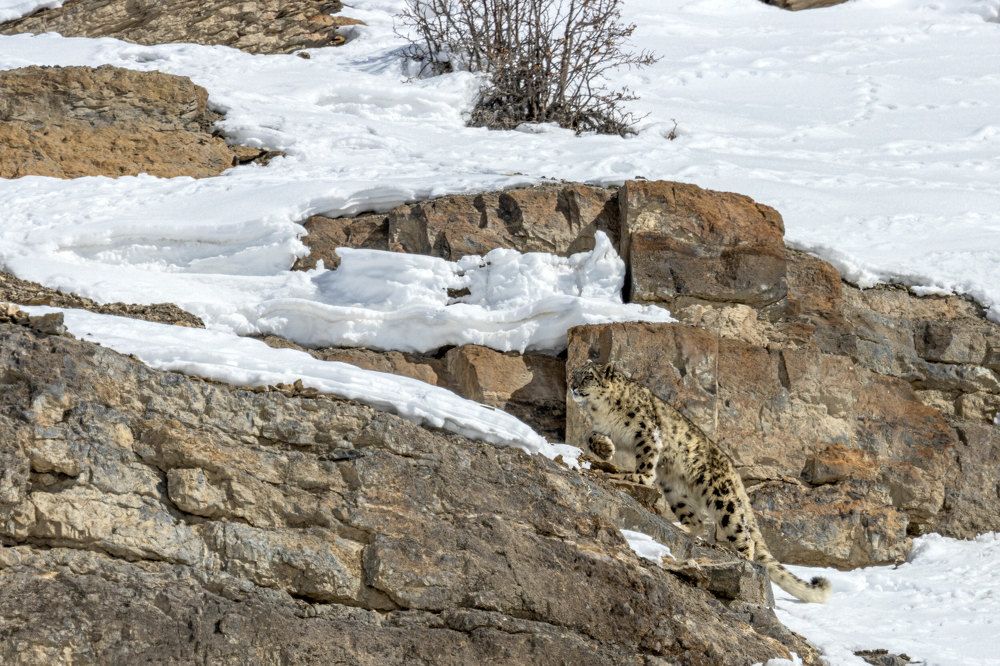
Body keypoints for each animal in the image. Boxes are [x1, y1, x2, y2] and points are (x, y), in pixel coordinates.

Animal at [570, 361, 831, 603]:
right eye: (574, 374)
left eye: (588, 376)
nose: (572, 386)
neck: (603, 410)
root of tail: (733, 471)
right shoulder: (602, 428)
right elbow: (590, 436)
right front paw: (605, 449)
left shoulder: (646, 431)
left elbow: (647, 456)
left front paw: (640, 476)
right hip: (676, 493)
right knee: (697, 522)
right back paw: (680, 527)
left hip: (722, 498)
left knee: (743, 534)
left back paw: (743, 562)